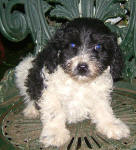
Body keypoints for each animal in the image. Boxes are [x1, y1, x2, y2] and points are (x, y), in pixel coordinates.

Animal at [14, 17, 130, 148]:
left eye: (98, 47)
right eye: (72, 45)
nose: (82, 67)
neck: (79, 83)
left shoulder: (100, 93)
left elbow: (104, 108)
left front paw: (111, 124)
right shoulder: (49, 92)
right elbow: (54, 112)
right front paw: (55, 133)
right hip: (24, 68)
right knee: (28, 91)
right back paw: (31, 109)